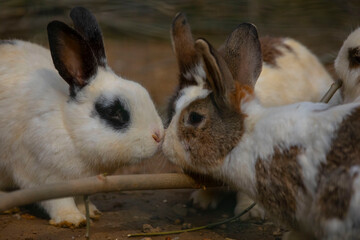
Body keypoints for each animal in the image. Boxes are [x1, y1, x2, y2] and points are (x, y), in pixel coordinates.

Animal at [0, 6, 165, 227]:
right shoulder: (43, 177)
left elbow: (79, 199)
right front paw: (72, 220)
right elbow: (59, 201)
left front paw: (91, 212)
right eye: (114, 113)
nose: (158, 136)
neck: (68, 127)